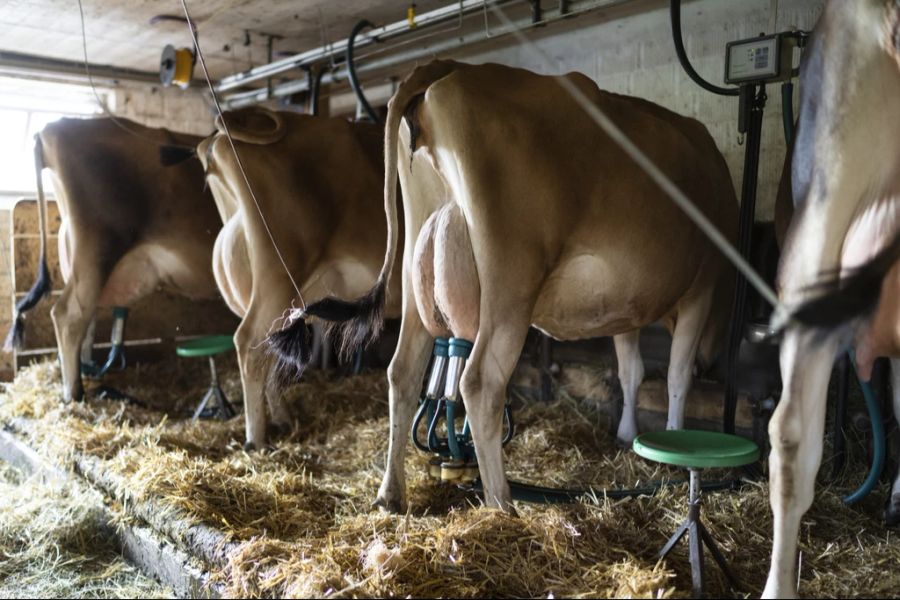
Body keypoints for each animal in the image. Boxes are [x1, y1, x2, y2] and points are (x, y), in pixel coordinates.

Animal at [288, 59, 740, 510]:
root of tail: (452, 65)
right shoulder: (702, 287)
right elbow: (677, 375)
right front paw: (674, 446)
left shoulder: (626, 307)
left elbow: (631, 370)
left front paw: (628, 435)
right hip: (511, 279)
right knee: (480, 381)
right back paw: (501, 504)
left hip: (417, 255)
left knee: (403, 371)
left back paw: (390, 494)